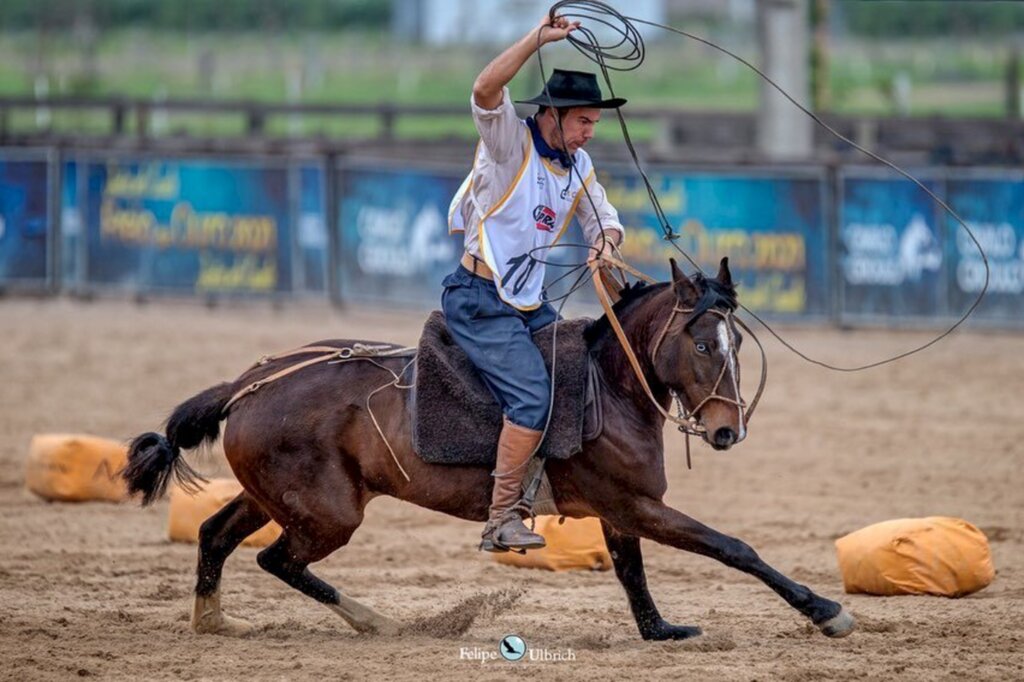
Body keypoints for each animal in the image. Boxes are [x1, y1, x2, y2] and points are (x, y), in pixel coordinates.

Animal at [119, 258, 856, 638]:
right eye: (704, 344)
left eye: (736, 346)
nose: (729, 431)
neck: (606, 385)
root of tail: (248, 384)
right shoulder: (635, 503)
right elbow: (734, 548)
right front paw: (825, 610)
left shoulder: (621, 511)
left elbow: (631, 572)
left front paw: (659, 630)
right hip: (329, 513)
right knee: (277, 559)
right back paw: (383, 622)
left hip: (276, 496)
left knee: (215, 535)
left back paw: (214, 623)